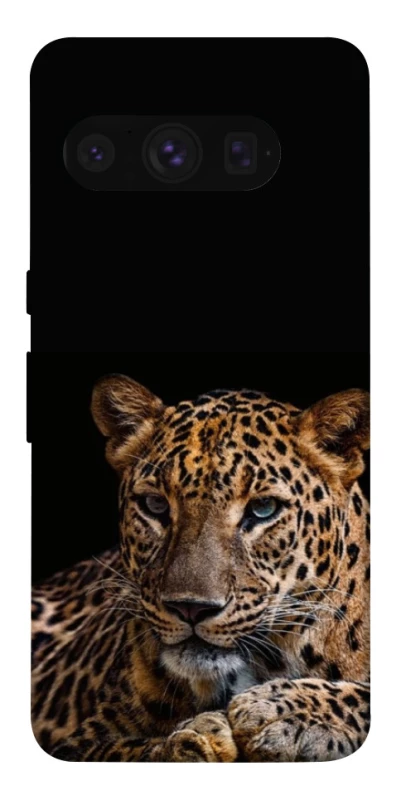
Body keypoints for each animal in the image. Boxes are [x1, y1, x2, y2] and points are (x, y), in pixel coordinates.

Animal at [32, 375, 370, 762]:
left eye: (264, 509)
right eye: (155, 505)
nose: (190, 608)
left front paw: (283, 711)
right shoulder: (79, 742)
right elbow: (131, 750)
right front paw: (198, 738)